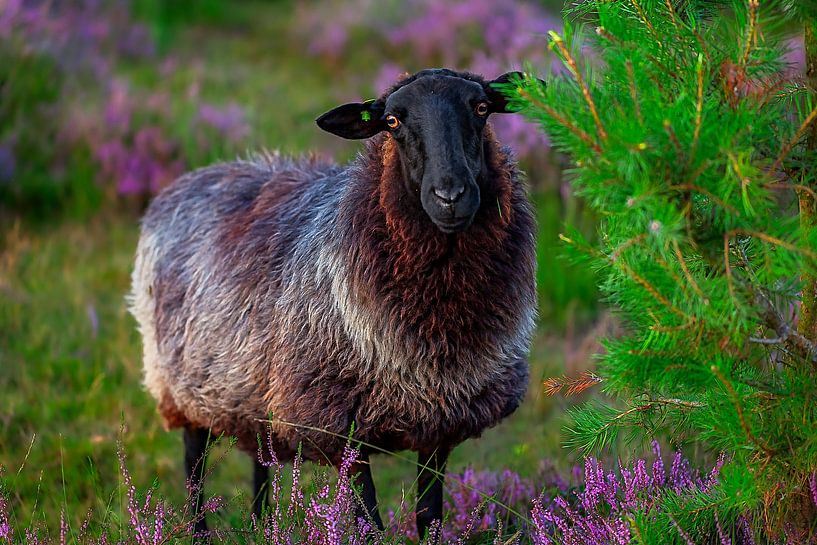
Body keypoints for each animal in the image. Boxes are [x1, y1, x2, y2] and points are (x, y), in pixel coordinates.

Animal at [129, 68, 538, 540]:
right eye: (392, 121)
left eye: (482, 107)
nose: (450, 196)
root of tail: (188, 179)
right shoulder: (340, 425)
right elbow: (370, 525)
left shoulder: (440, 422)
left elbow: (429, 518)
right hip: (182, 385)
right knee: (194, 469)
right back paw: (202, 531)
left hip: (252, 392)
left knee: (259, 463)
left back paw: (261, 526)